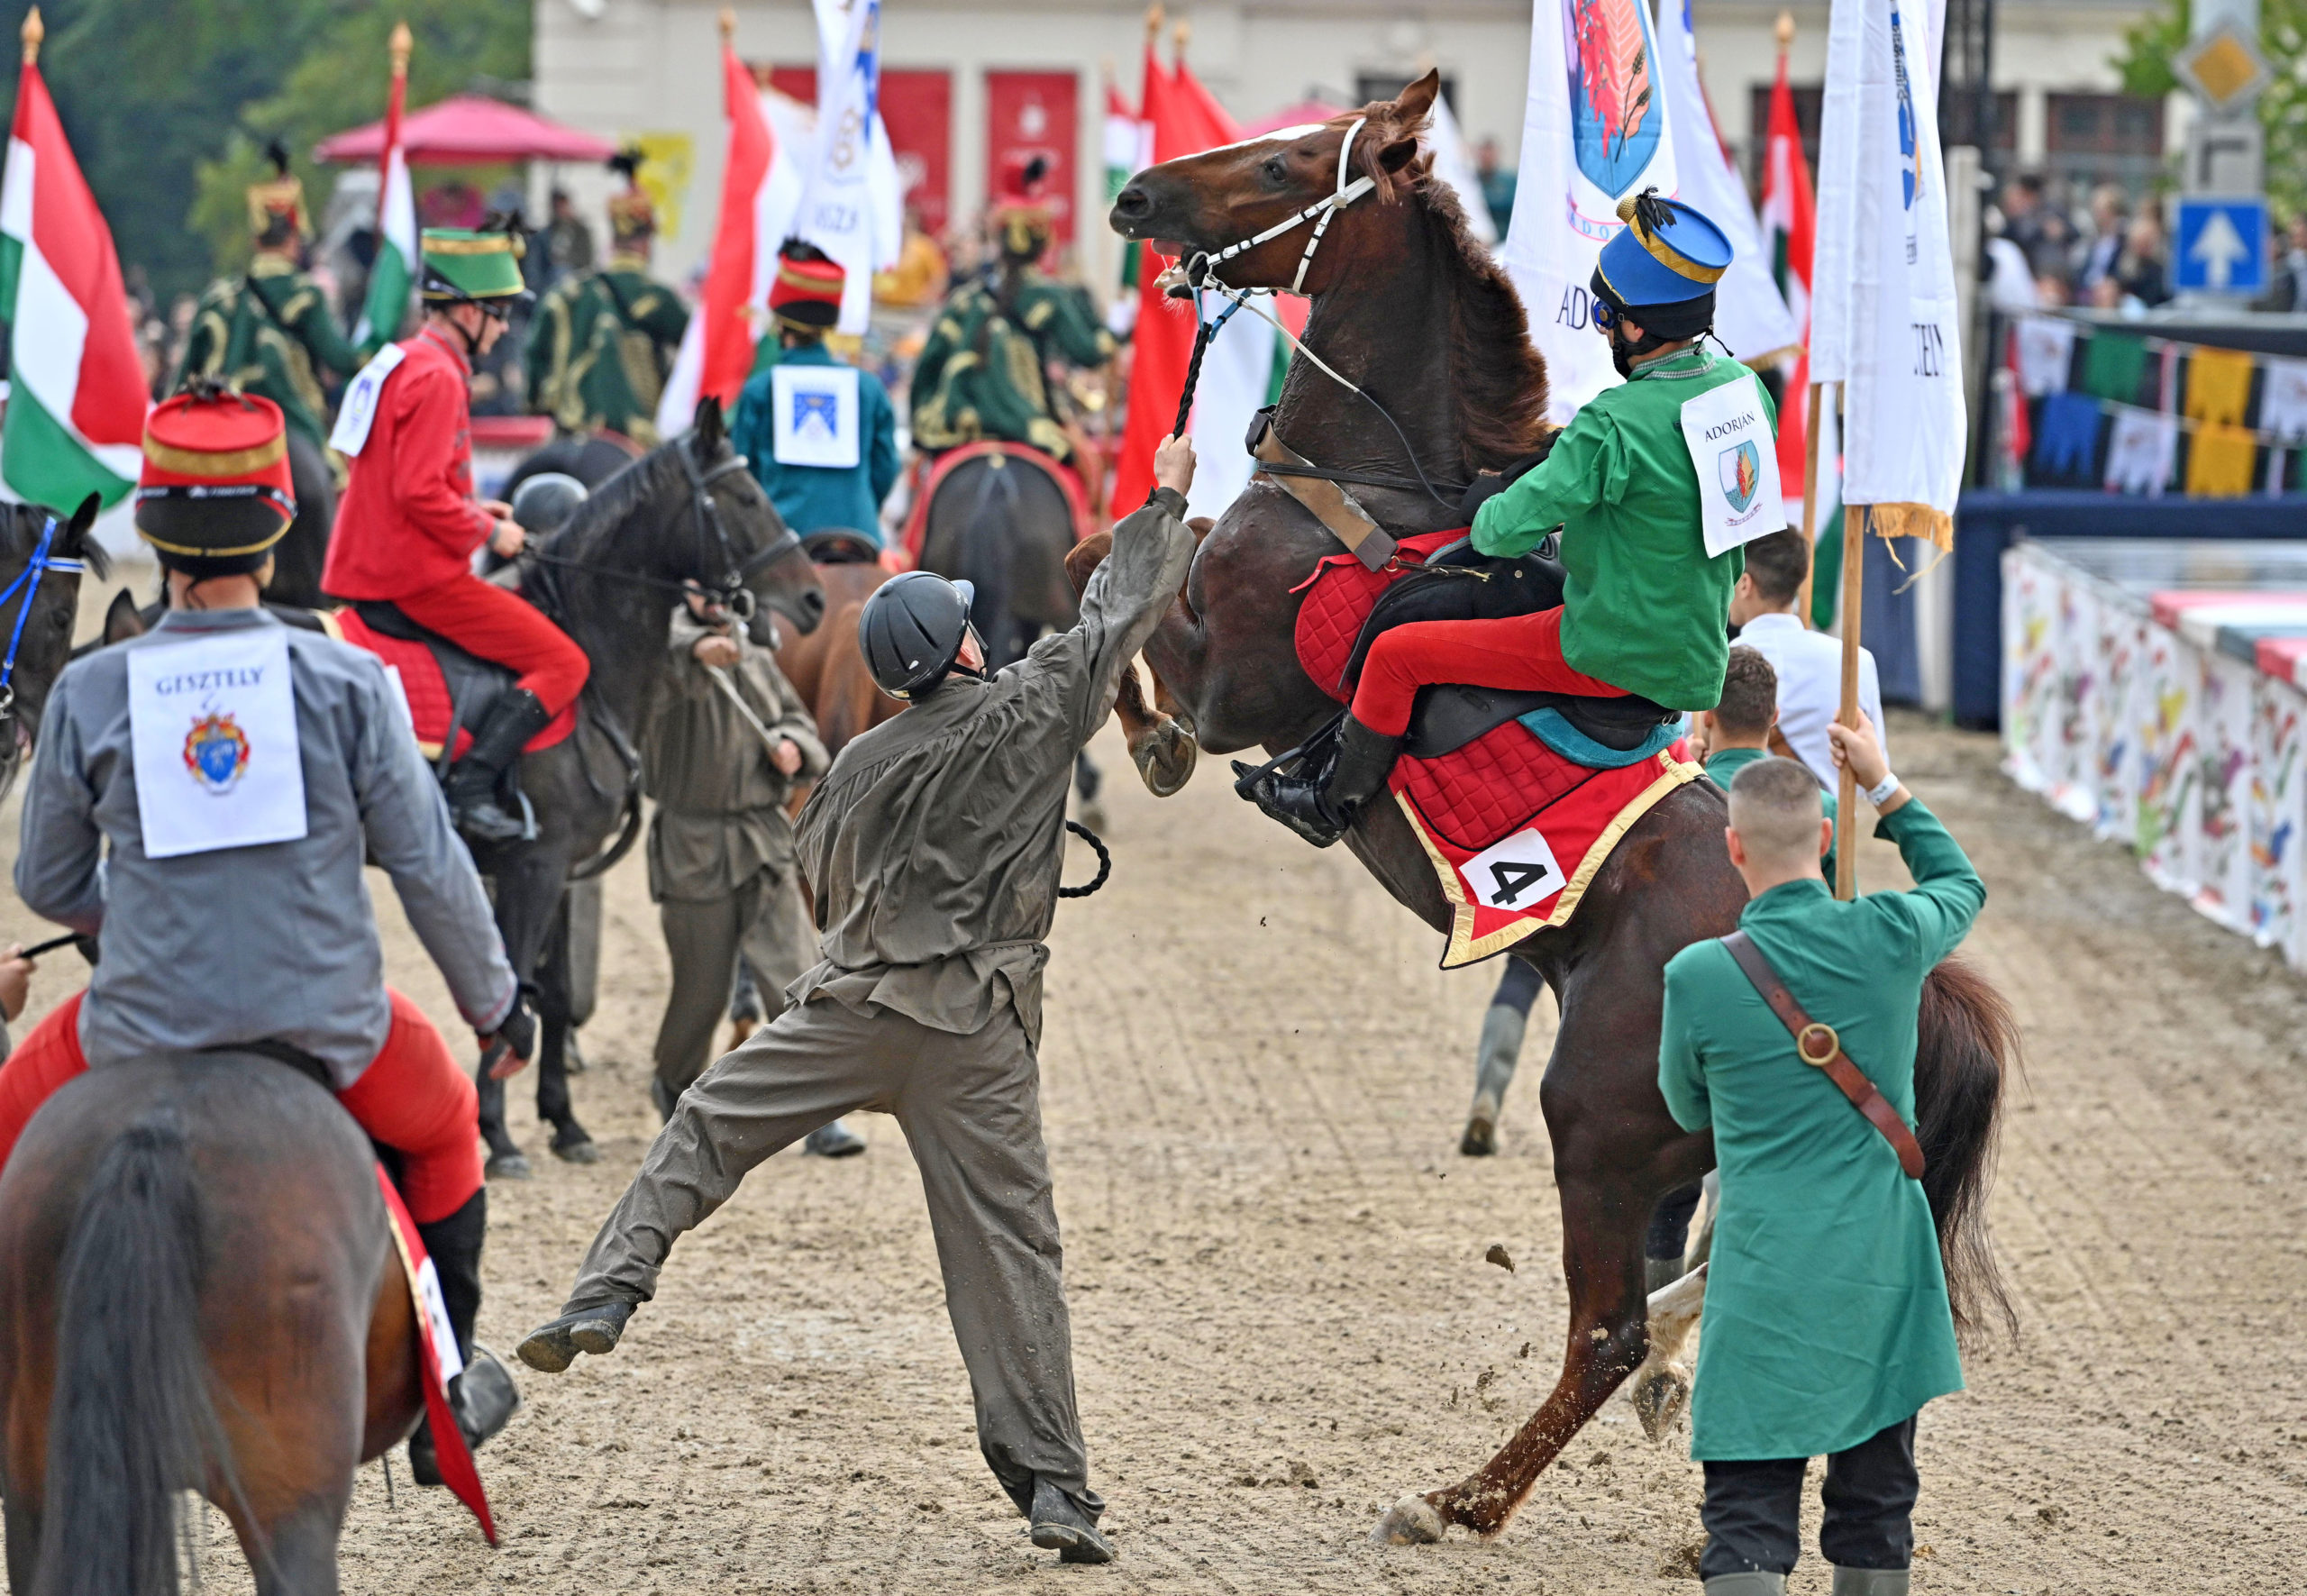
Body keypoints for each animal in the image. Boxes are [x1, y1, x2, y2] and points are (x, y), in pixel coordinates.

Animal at [1102, 75, 2020, 1549]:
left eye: (1291, 161)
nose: (1137, 195)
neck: (1388, 494)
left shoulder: (1228, 672)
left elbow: (1131, 553)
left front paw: (1146, 739)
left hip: (1595, 1126)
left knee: (1603, 1330)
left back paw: (1463, 1495)